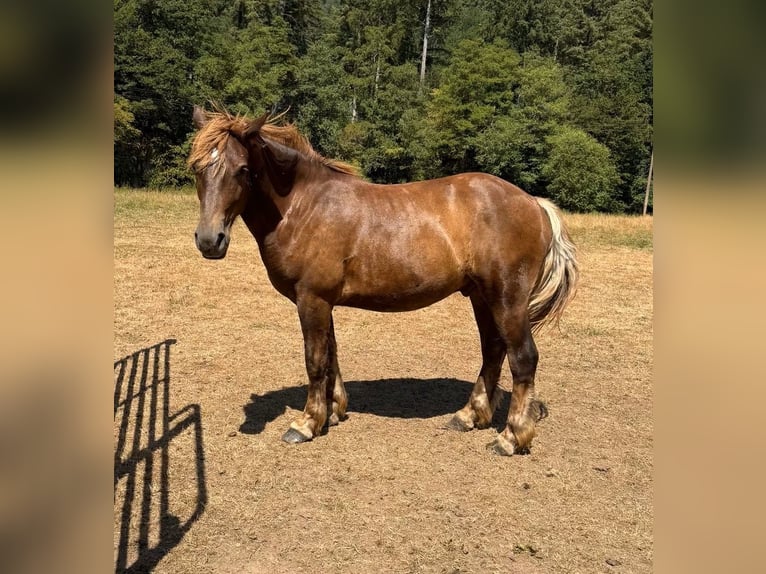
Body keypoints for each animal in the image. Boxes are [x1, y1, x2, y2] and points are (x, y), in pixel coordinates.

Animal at [188, 106, 578, 456]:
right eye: (197, 168)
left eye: (241, 170)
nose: (209, 241)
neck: (303, 206)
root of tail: (534, 203)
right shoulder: (323, 302)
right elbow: (331, 355)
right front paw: (334, 410)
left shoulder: (311, 299)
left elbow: (315, 360)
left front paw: (307, 423)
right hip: (482, 296)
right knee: (493, 350)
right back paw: (469, 416)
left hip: (507, 298)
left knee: (522, 358)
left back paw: (510, 437)